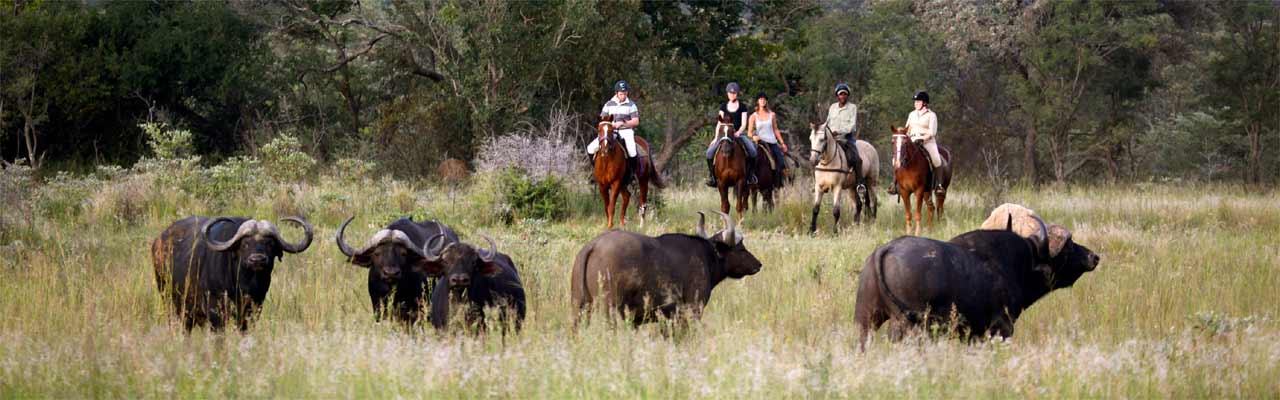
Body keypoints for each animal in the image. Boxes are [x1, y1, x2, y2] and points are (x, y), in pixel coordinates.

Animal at [149, 215, 314, 330]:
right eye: (245, 244)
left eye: (270, 243)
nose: (257, 260)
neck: (244, 285)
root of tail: (158, 241)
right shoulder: (215, 311)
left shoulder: (253, 309)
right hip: (170, 301)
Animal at [570, 211, 757, 326]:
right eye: (741, 248)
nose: (758, 264)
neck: (707, 255)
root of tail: (593, 245)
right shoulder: (692, 310)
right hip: (609, 310)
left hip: (579, 308)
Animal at [849, 211, 1100, 348]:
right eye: (1068, 247)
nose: (1093, 257)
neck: (1023, 263)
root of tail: (885, 250)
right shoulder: (1001, 328)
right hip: (907, 325)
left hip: (866, 321)